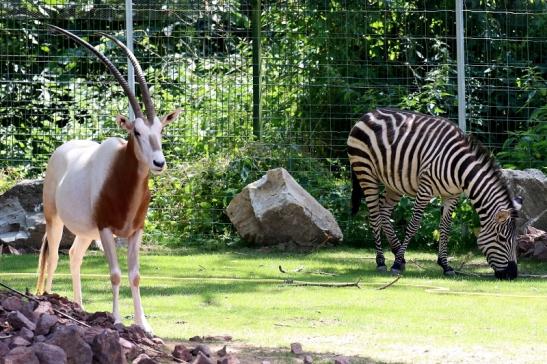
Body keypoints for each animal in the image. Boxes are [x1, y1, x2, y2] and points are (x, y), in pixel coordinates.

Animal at [346, 108, 524, 278]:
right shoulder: (425, 189)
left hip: (394, 183)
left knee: (384, 211)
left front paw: (445, 266)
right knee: (374, 216)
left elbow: (445, 228)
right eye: (502, 238)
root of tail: (368, 114)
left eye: (516, 240)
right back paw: (382, 262)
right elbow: (413, 225)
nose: (512, 274)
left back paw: (399, 255)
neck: (459, 168)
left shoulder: (452, 195)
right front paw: (395, 265)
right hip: (365, 172)